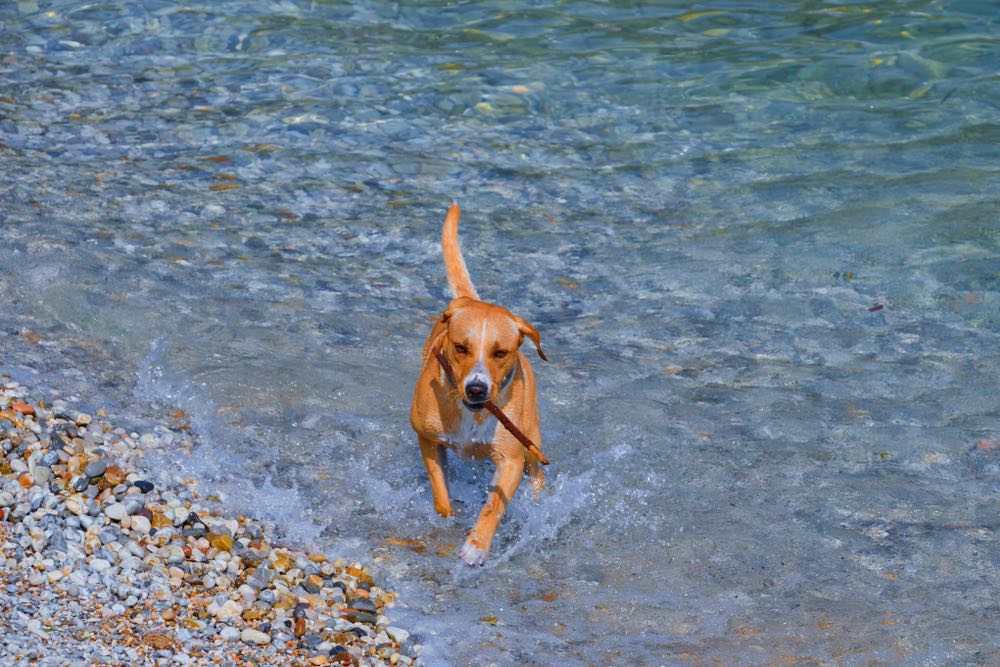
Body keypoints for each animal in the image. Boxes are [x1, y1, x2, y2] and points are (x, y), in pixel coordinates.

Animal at [408, 202, 548, 564]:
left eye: (500, 352)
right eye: (460, 347)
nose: (476, 388)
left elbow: (493, 507)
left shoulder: (511, 459)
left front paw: (476, 546)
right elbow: (440, 495)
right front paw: (449, 515)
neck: (473, 413)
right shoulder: (428, 441)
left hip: (531, 438)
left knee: (538, 474)